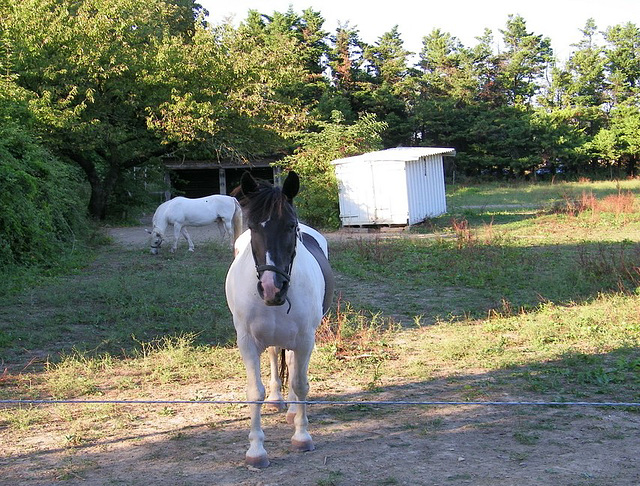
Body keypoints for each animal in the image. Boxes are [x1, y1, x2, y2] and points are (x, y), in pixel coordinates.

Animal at [225, 171, 336, 468]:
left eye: (290, 226)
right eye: (254, 227)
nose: (271, 288)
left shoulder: (306, 339)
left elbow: (300, 383)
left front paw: (302, 436)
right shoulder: (247, 342)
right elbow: (255, 392)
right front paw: (256, 451)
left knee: (293, 365)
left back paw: (292, 411)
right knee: (276, 355)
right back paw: (277, 400)